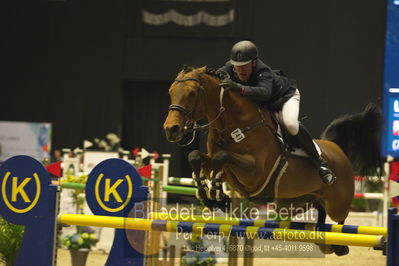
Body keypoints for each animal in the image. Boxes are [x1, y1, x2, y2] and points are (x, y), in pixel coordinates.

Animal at [163, 64, 384, 256]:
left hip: (337, 203)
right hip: (295, 202)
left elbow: (222, 156)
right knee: (320, 214)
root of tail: (337, 148)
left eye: (192, 93)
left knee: (340, 221)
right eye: (171, 91)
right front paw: (208, 195)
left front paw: (217, 196)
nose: (171, 129)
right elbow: (196, 157)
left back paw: (338, 243)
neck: (234, 125)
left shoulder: (255, 173)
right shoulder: (224, 171)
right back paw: (324, 243)